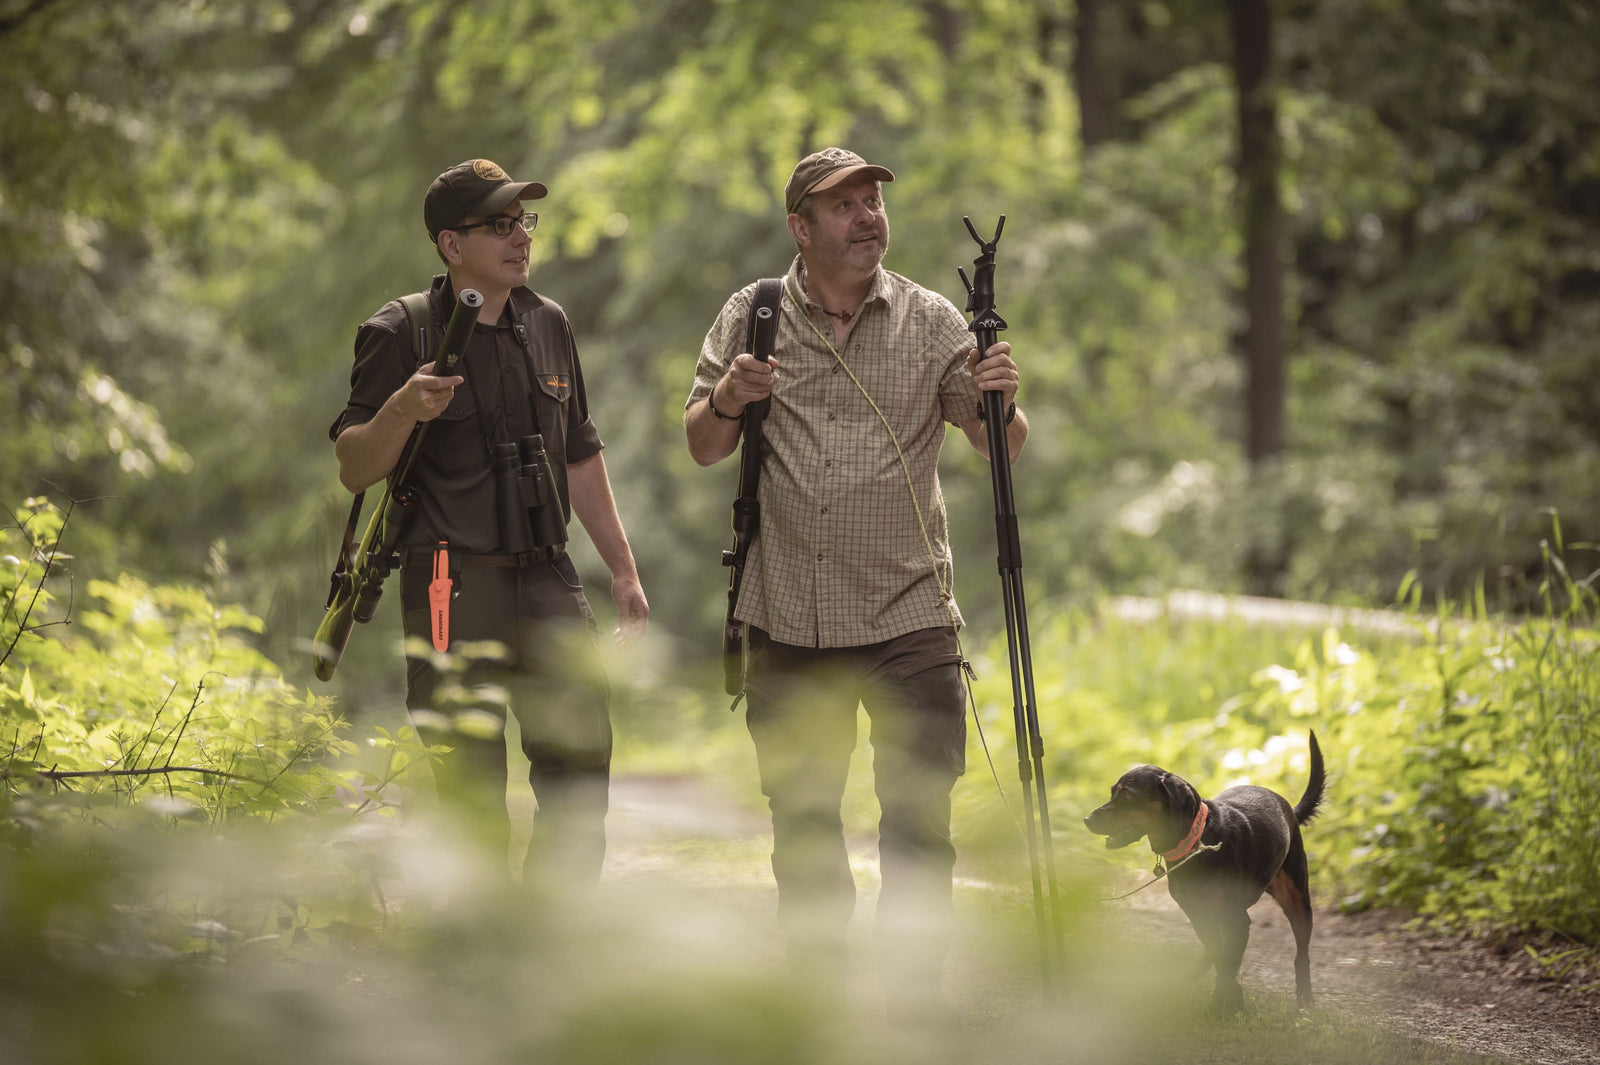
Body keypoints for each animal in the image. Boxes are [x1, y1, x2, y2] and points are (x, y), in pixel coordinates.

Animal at [1088, 729, 1324, 1010]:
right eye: (1113, 792)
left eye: (1126, 795)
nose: (1087, 820)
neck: (1197, 842)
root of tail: (1287, 806)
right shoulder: (1196, 913)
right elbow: (1219, 956)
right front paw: (1230, 998)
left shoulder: (1236, 919)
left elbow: (1227, 963)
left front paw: (1223, 1006)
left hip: (1297, 899)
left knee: (1302, 953)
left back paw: (1305, 998)